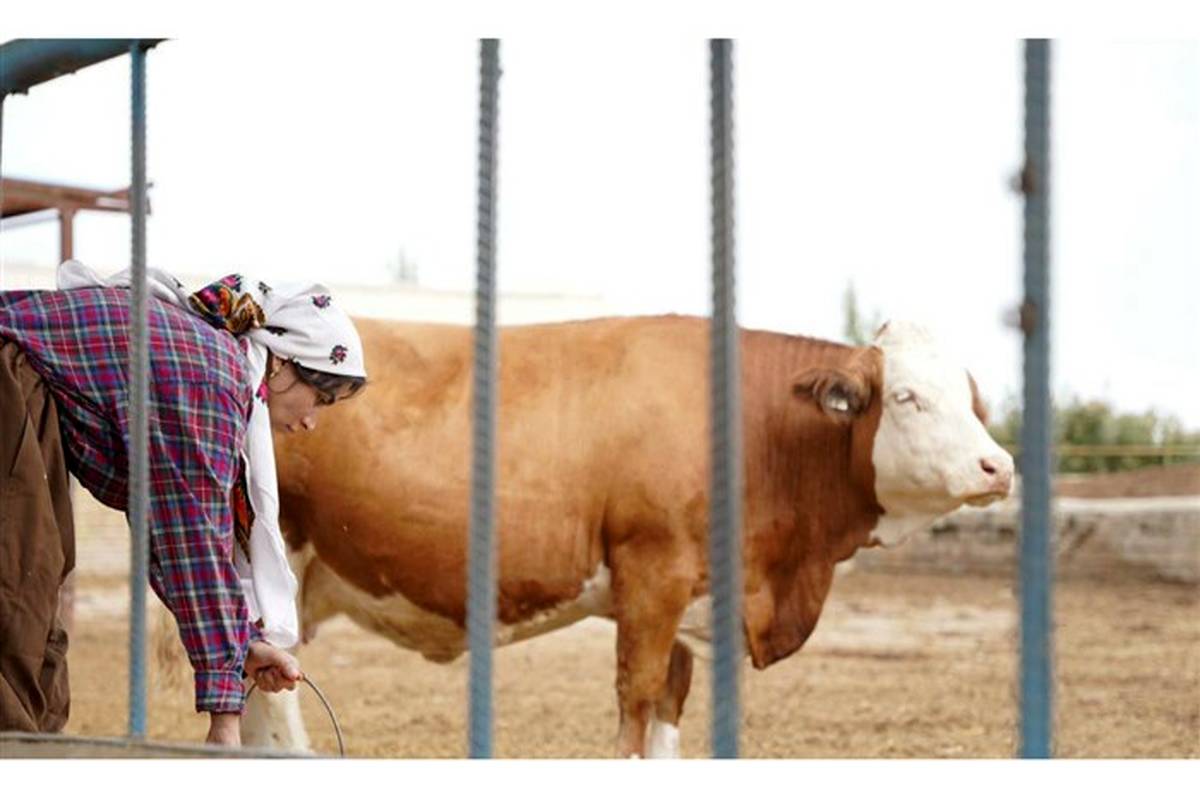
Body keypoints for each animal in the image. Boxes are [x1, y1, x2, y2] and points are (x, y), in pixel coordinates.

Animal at [241, 315, 1014, 757]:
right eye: (908, 398)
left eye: (971, 397)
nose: (998, 466)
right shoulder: (652, 572)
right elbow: (636, 699)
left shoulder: (689, 594)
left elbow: (670, 704)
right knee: (271, 693)